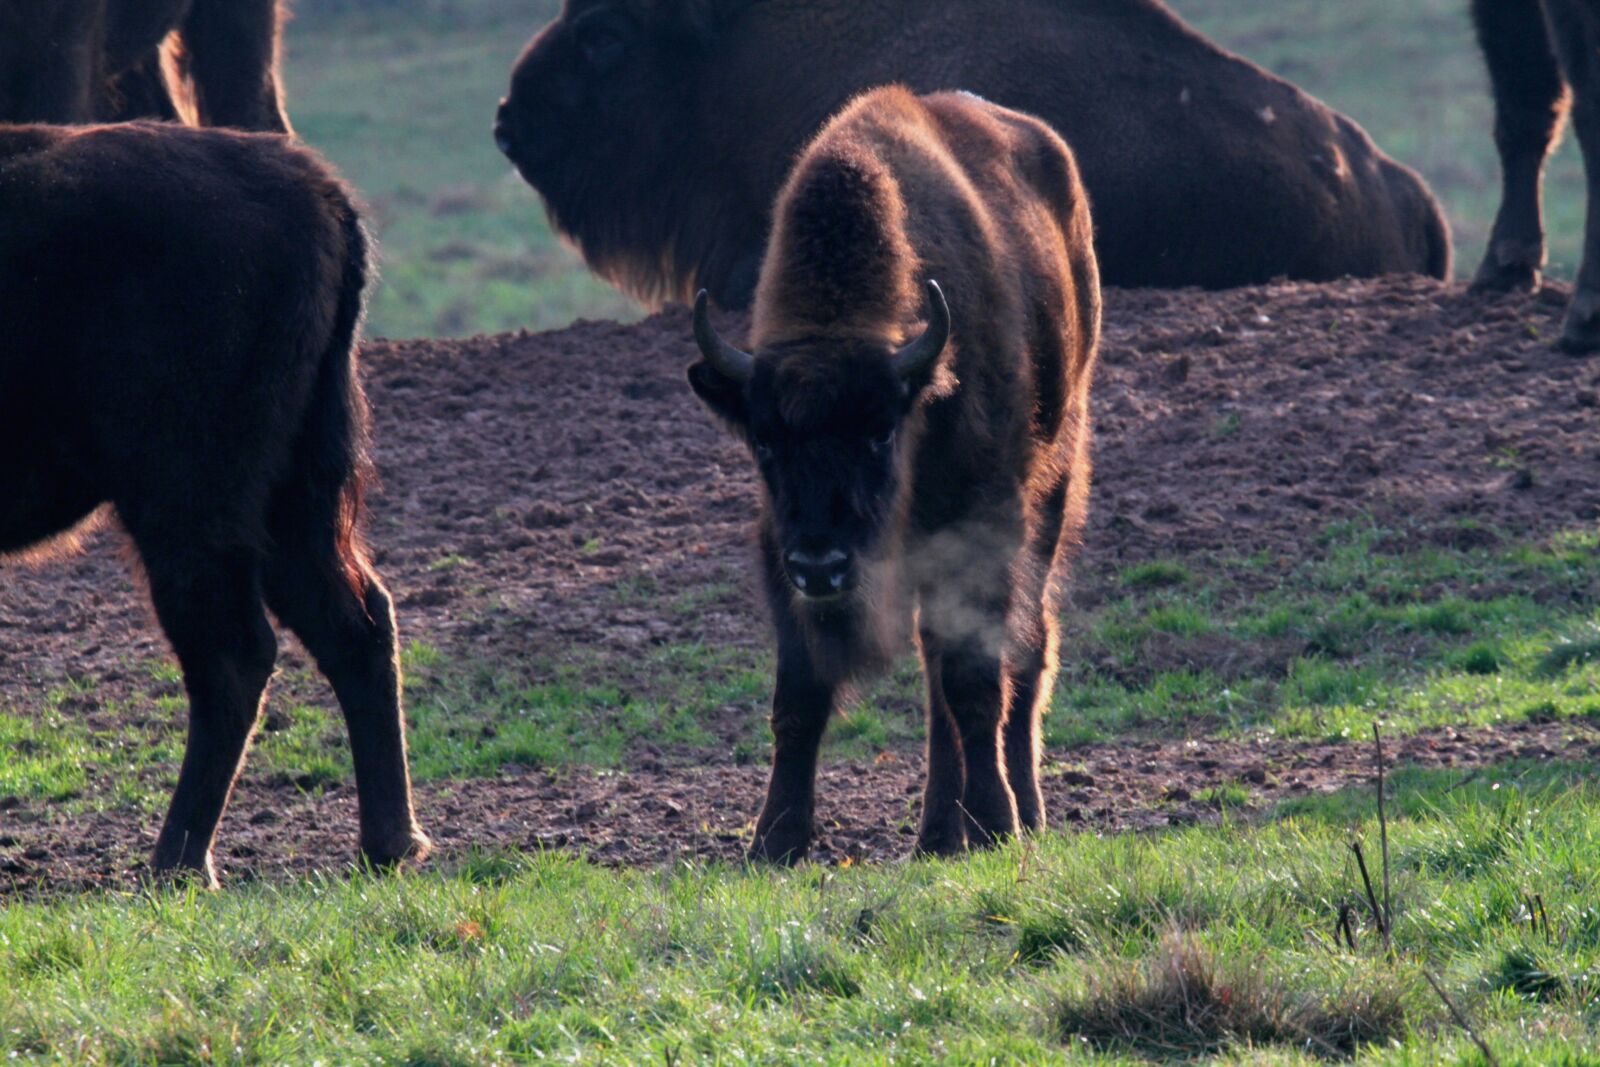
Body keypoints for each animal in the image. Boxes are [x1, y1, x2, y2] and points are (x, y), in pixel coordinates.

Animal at [0, 122, 427, 885]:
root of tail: (315, 189)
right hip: (291, 500)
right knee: (355, 623)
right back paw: (388, 844)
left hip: (184, 503)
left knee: (234, 654)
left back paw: (176, 863)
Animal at [687, 85, 1099, 862]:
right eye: (765, 440)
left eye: (880, 429)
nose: (822, 565)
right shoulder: (779, 545)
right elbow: (800, 692)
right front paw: (775, 841)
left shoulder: (981, 525)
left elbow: (976, 679)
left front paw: (996, 824)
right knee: (938, 680)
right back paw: (937, 835)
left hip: (1057, 480)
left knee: (1025, 648)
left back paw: (1019, 813)